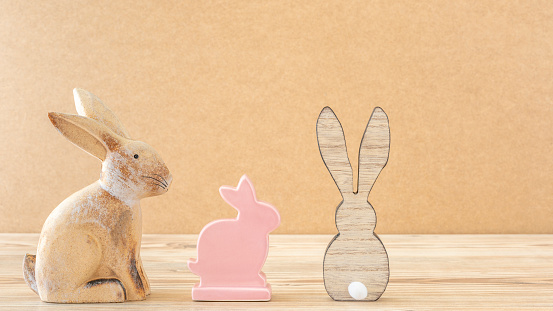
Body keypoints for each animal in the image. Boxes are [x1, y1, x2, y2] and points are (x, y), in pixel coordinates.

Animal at [23, 89, 172, 304]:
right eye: (135, 156)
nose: (169, 178)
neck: (119, 193)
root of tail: (42, 291)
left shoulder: (134, 253)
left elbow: (140, 272)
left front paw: (147, 291)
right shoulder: (120, 253)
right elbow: (130, 276)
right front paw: (137, 296)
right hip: (87, 246)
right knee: (69, 293)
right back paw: (112, 290)